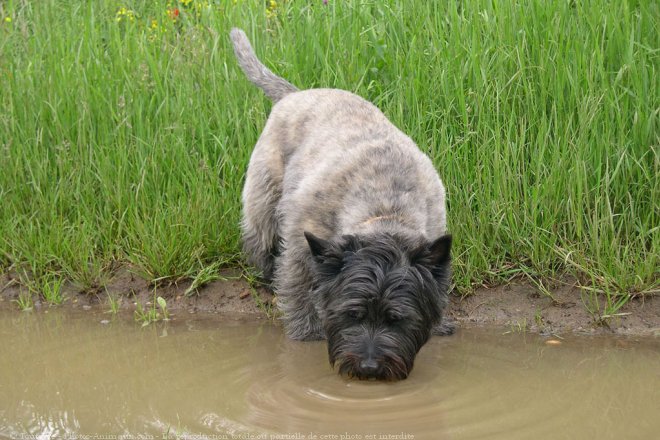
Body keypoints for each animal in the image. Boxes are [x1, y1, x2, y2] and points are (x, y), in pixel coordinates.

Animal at [229, 27, 452, 380]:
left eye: (397, 319)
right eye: (353, 314)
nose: (370, 367)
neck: (384, 207)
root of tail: (295, 94)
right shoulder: (302, 244)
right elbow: (297, 286)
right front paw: (306, 333)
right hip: (264, 197)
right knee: (259, 239)